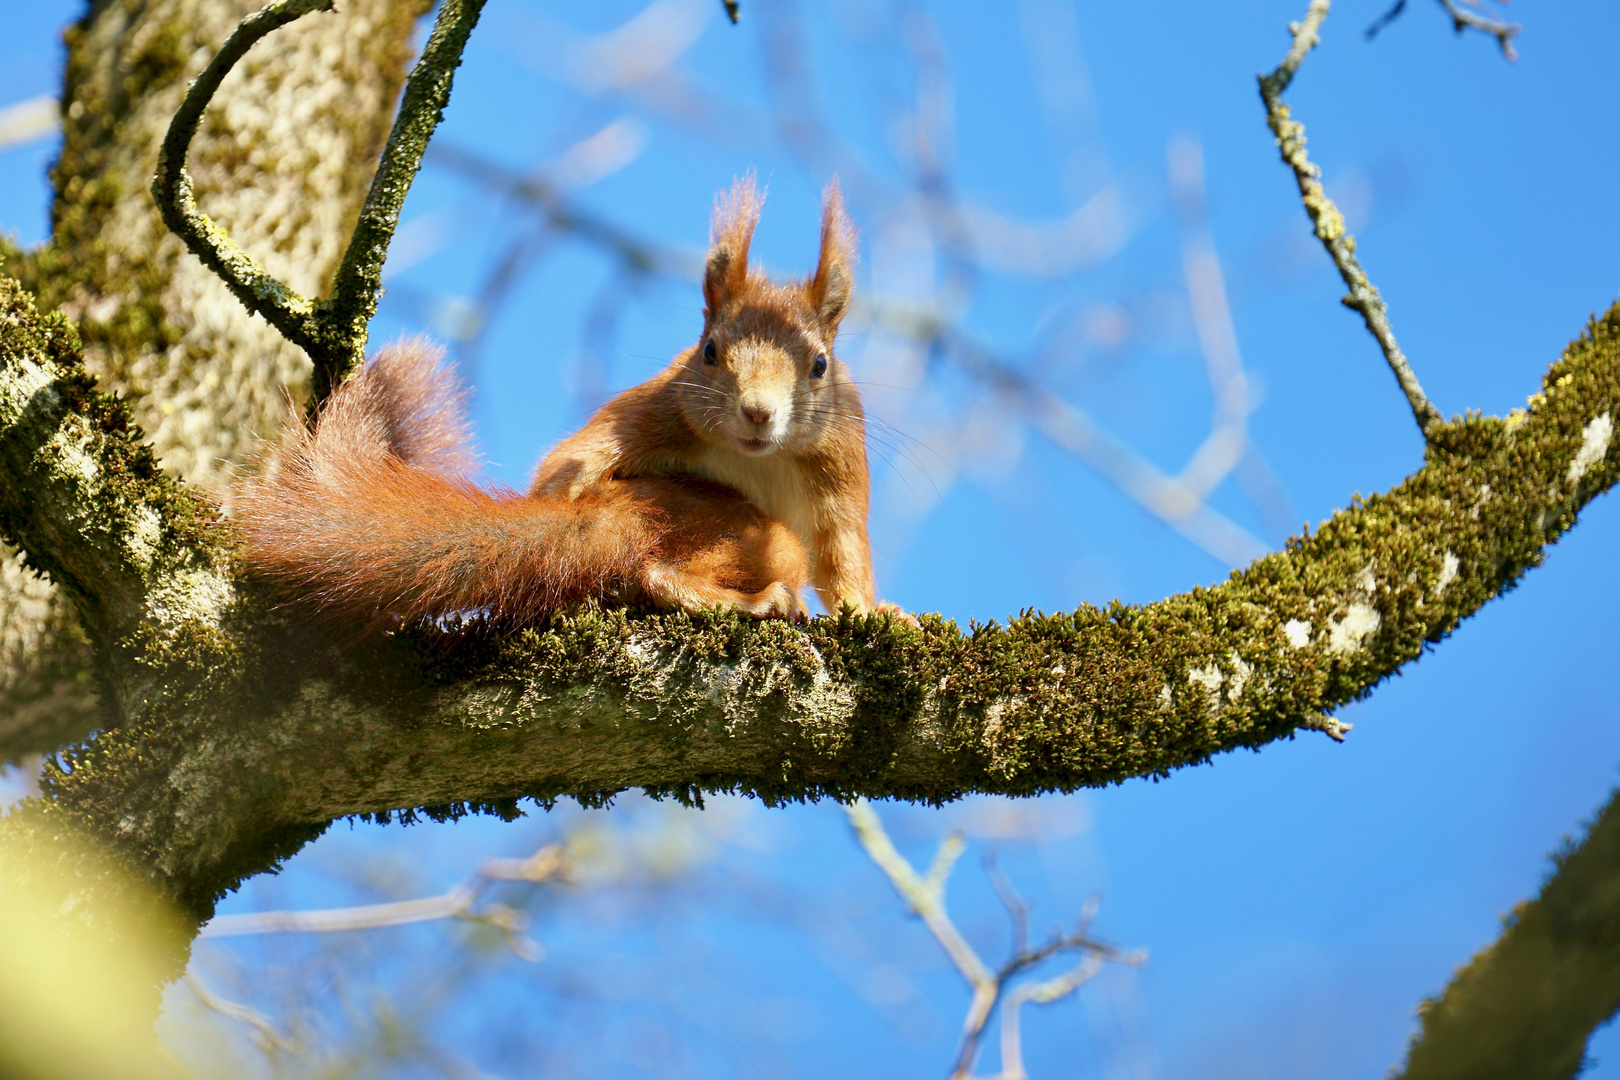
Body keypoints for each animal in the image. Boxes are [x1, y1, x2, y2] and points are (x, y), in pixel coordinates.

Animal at [534, 177, 900, 615]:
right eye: (709, 351)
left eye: (820, 365)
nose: (758, 411)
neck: (759, 458)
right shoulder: (658, 413)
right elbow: (561, 470)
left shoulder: (840, 461)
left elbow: (843, 553)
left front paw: (874, 611)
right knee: (657, 573)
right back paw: (754, 600)